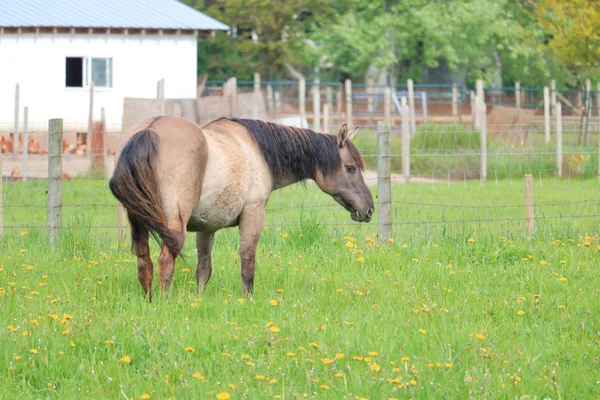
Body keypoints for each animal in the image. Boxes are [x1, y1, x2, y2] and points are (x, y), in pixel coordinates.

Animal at [109, 116, 372, 300]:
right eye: (350, 168)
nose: (369, 209)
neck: (257, 151)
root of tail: (150, 129)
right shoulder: (253, 215)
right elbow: (247, 262)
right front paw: (247, 299)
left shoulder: (206, 227)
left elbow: (204, 267)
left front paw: (199, 299)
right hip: (174, 227)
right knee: (165, 261)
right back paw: (163, 302)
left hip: (138, 223)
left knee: (144, 261)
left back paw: (150, 301)